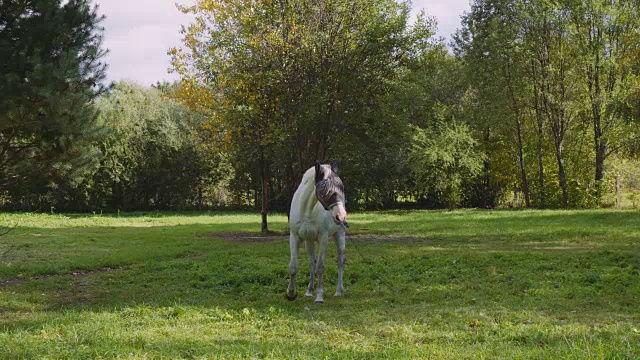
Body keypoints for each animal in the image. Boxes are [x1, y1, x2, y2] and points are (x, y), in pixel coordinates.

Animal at [288, 162, 348, 302]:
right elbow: (293, 267)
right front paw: (291, 294)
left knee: (340, 260)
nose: (341, 216)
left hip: (339, 235)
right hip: (309, 241)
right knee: (312, 262)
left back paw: (338, 291)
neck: (307, 209)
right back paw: (309, 291)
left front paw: (319, 296)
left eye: (341, 187)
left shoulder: (323, 238)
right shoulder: (295, 237)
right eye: (327, 191)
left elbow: (320, 267)